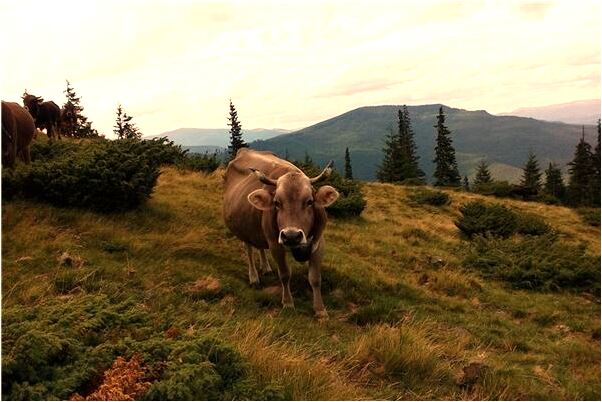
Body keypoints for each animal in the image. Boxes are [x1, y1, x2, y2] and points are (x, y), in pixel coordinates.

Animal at [224, 148, 340, 318]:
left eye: (310, 201)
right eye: (277, 203)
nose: (291, 236)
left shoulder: (318, 243)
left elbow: (315, 278)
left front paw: (320, 310)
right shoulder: (275, 244)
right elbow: (285, 274)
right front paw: (288, 303)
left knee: (260, 246)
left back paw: (266, 267)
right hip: (243, 230)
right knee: (249, 250)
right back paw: (254, 277)